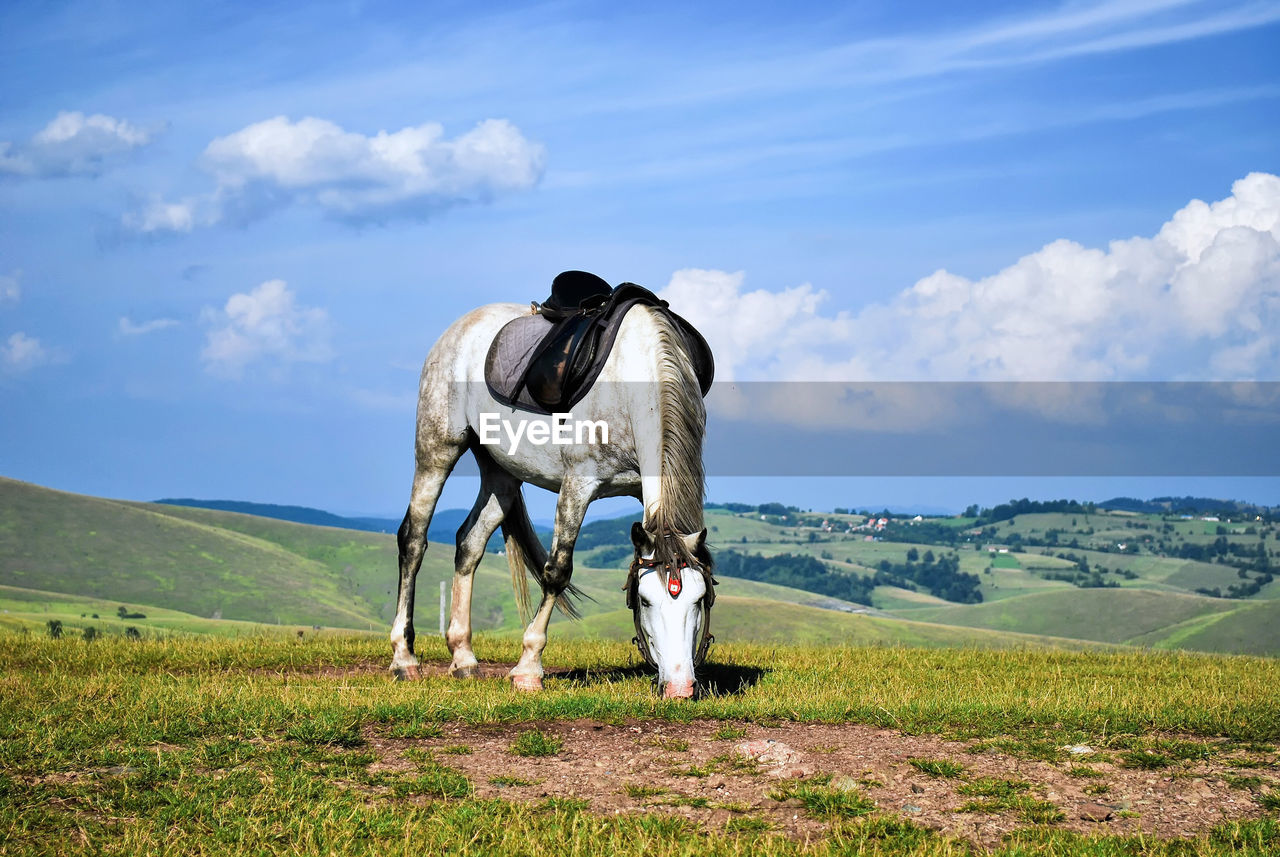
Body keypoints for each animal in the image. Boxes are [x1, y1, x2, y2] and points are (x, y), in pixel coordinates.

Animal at [389, 299, 716, 700]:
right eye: (644, 599)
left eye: (700, 599)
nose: (680, 687)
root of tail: (462, 326)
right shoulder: (578, 484)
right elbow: (557, 571)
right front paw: (528, 669)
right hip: (437, 449)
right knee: (413, 539)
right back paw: (404, 658)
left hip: (502, 475)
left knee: (469, 544)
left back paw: (463, 657)